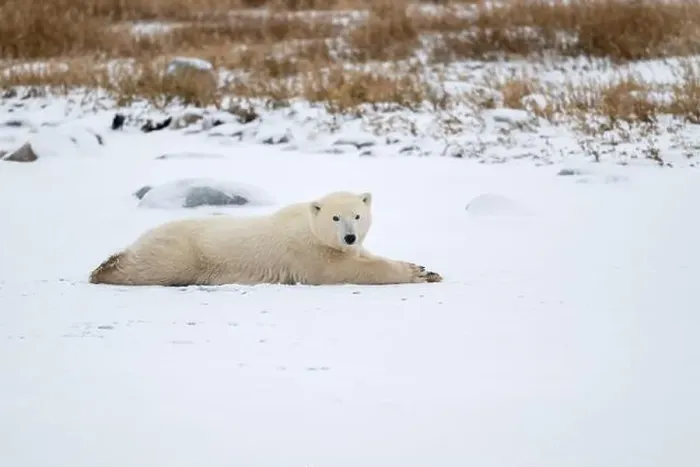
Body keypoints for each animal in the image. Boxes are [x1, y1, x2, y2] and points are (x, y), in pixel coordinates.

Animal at [88, 190, 443, 286]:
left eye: (357, 215)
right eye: (335, 217)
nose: (350, 237)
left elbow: (365, 258)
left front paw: (426, 269)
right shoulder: (310, 254)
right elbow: (348, 270)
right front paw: (415, 273)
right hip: (182, 252)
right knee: (149, 266)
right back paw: (105, 269)